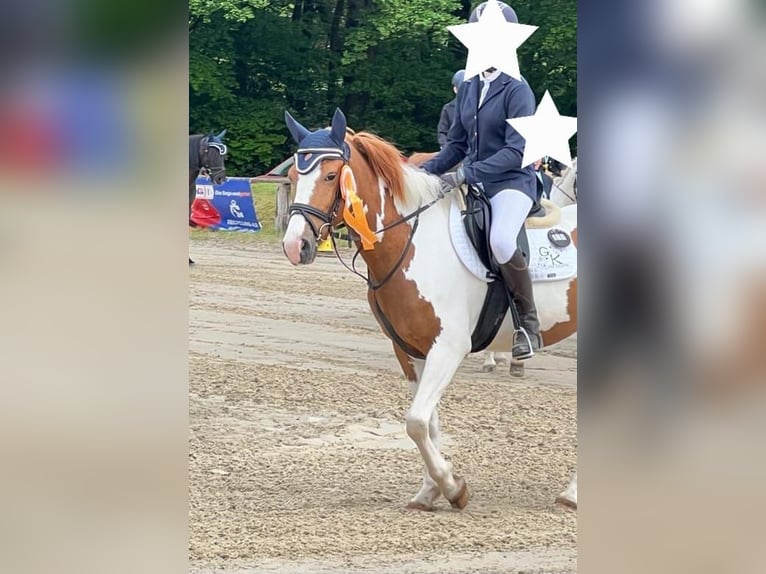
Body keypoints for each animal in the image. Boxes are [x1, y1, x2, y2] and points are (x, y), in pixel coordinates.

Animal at [284, 109, 580, 512]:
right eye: (292, 177)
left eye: (330, 176)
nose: (294, 246)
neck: (412, 244)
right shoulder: (411, 351)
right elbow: (428, 423)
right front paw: (431, 490)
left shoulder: (448, 348)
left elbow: (416, 421)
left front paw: (452, 487)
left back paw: (574, 493)